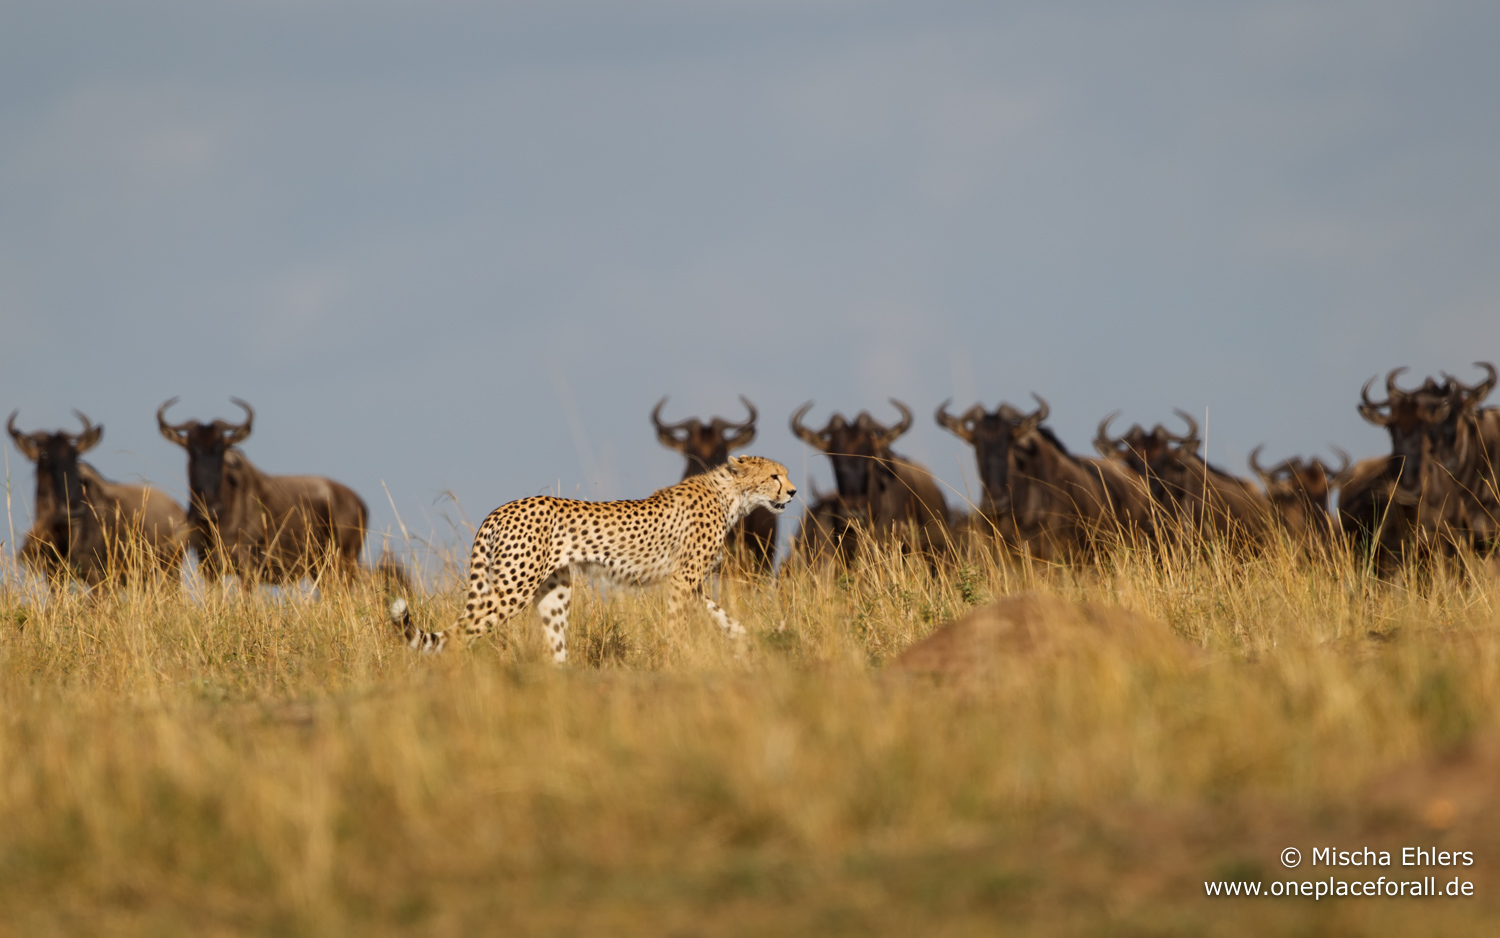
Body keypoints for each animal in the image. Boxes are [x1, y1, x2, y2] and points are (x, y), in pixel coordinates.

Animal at [393, 453, 804, 657]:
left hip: (554, 592)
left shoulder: (690, 581)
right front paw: (679, 656)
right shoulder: (682, 579)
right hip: (514, 587)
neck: (731, 494)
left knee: (553, 646)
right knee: (460, 633)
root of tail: (501, 509)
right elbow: (678, 624)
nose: (793, 491)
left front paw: (746, 638)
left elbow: (722, 615)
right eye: (774, 476)